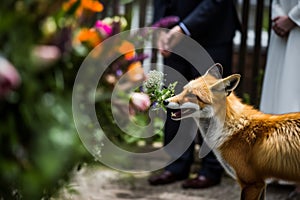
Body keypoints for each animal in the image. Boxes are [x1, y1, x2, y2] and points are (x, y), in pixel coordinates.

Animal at [164, 64, 300, 200]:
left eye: (192, 95)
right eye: (183, 90)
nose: (165, 101)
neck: (234, 129)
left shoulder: (252, 183)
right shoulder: (262, 183)